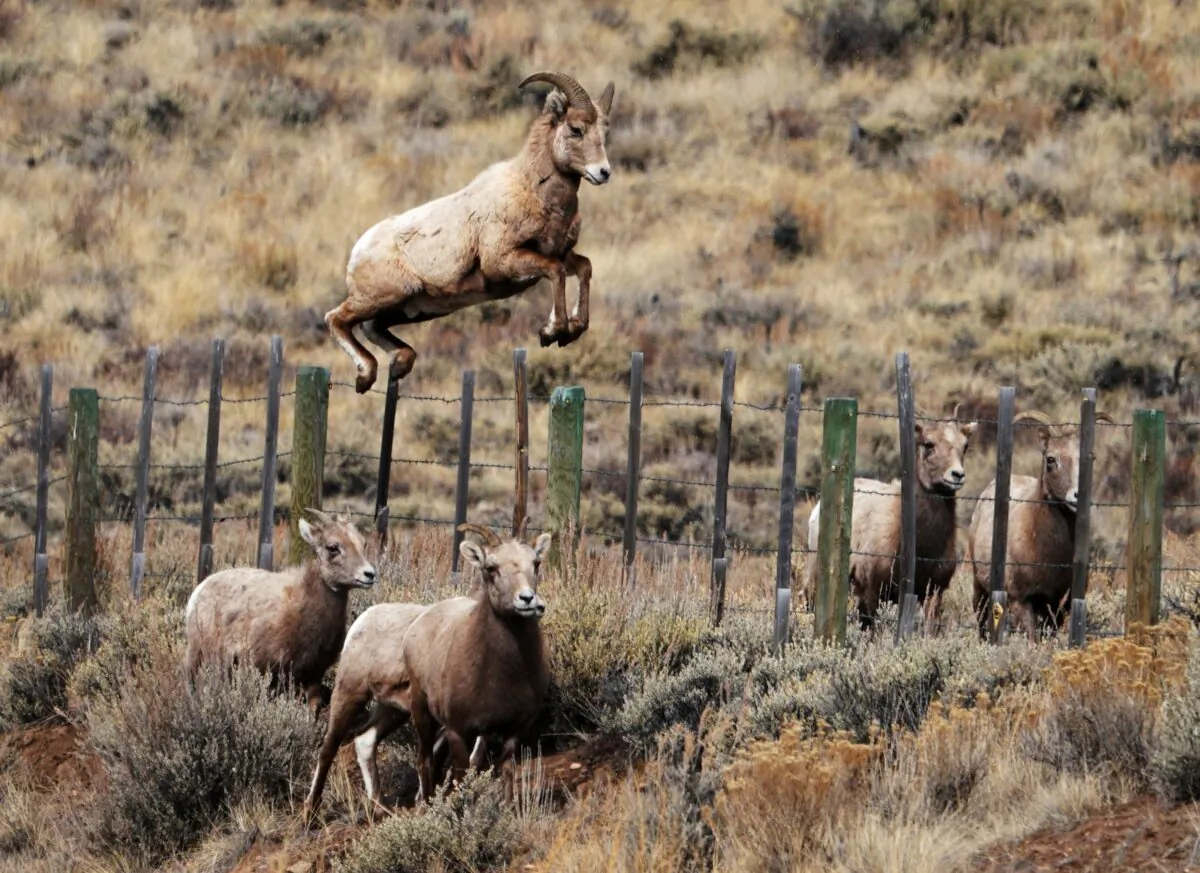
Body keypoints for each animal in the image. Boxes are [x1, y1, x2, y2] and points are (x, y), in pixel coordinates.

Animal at [184, 507, 377, 712]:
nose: (369, 574)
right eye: (333, 547)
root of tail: (201, 589)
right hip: (198, 655)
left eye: (362, 542)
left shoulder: (313, 676)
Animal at [326, 70, 616, 394]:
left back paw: (400, 362)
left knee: (370, 327)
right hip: (381, 297)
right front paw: (553, 332)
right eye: (576, 129)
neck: (531, 189)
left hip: (404, 308)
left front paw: (568, 329)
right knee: (336, 319)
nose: (603, 172)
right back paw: (366, 376)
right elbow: (555, 272)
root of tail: (357, 252)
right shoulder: (505, 261)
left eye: (604, 133)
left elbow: (582, 268)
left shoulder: (561, 253)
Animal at [968, 409, 1113, 641]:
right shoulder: (1022, 601)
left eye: (1091, 458)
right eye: (1051, 459)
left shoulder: (1058, 606)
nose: (1076, 496)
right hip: (979, 587)